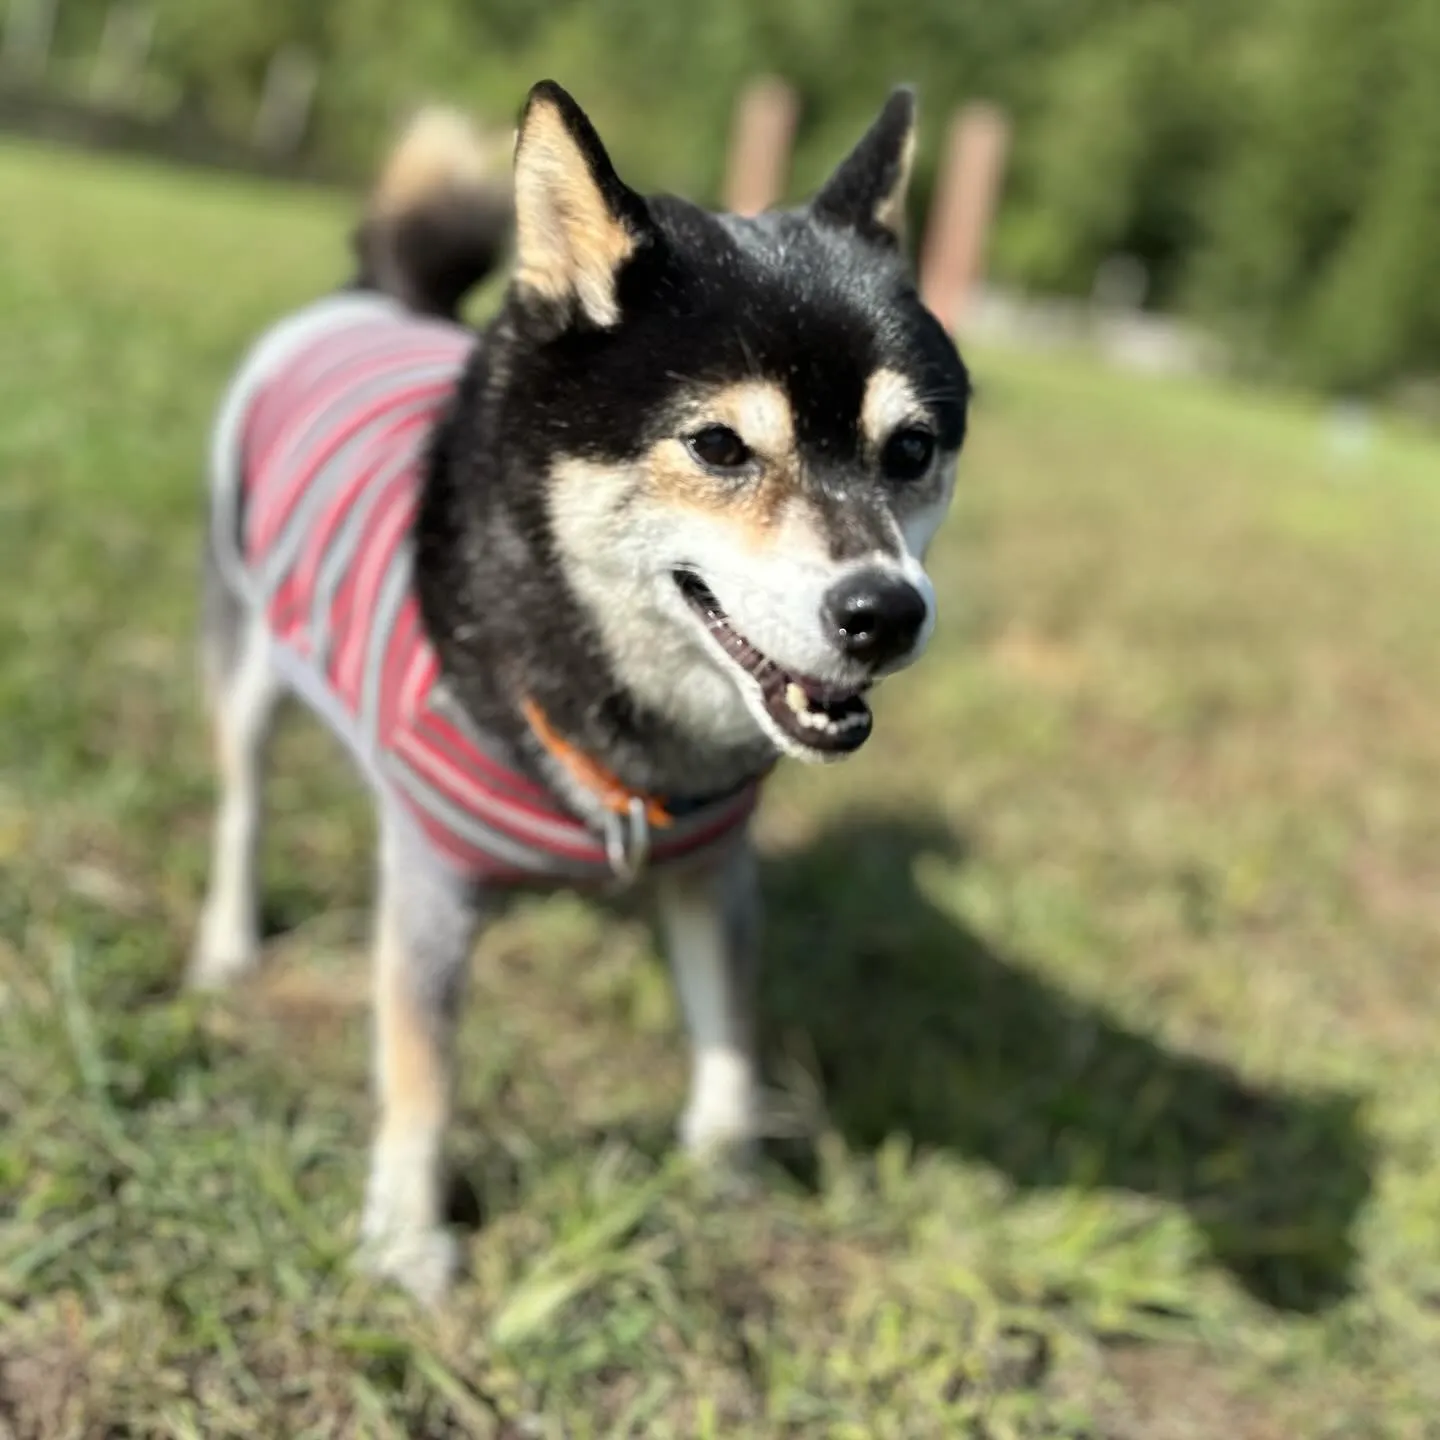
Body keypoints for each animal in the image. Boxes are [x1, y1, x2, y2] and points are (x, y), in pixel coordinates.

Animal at [191, 78, 973, 1307]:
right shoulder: (431, 886)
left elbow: (728, 1032)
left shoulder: (713, 870)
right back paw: (226, 944)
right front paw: (404, 1239)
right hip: (242, 656)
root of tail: (376, 296)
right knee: (242, 808)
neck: (636, 744)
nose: (886, 613)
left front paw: (724, 1173)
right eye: (719, 446)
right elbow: (422, 1070)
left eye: (911, 450)